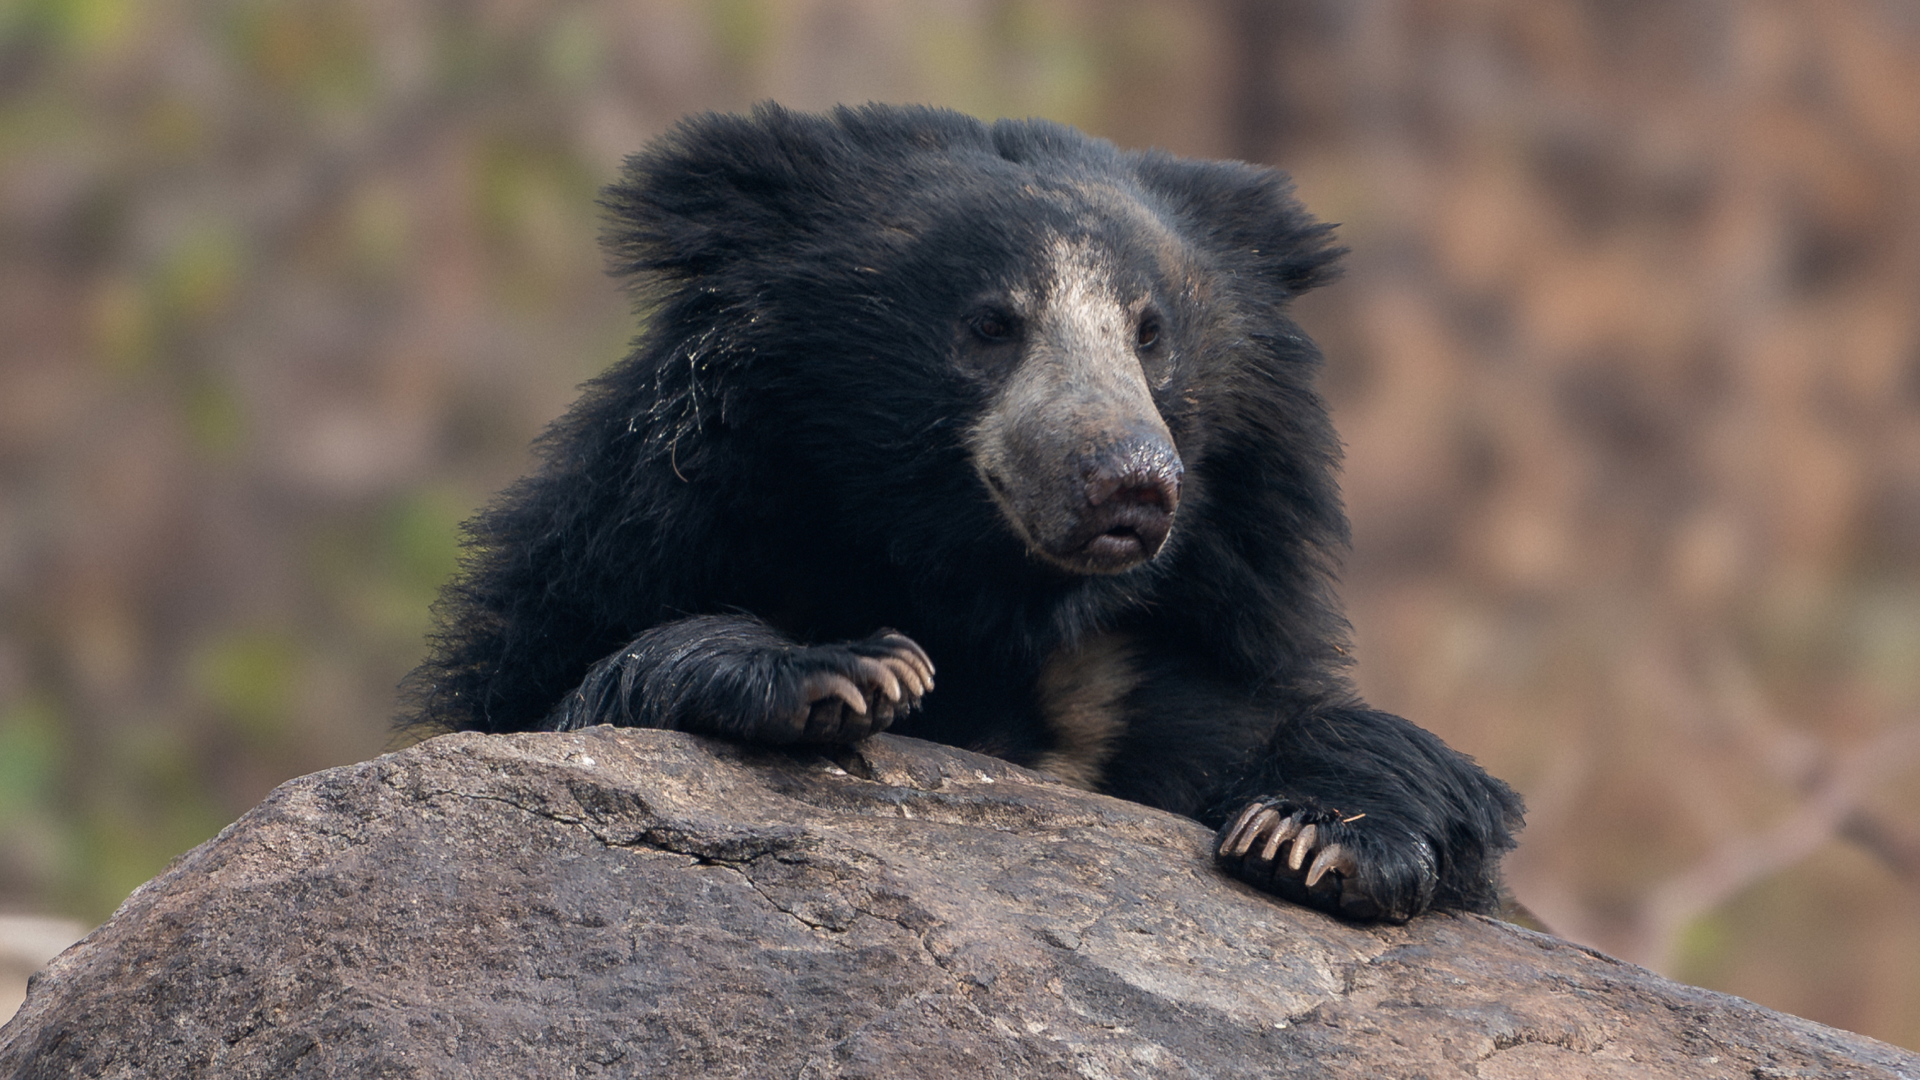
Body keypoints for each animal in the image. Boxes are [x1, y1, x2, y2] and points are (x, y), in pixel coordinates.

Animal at [403, 102, 1524, 923]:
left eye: (1151, 333)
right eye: (991, 326)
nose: (1129, 482)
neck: (994, 599)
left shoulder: (1149, 669)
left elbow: (1331, 742)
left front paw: (1314, 834)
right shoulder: (635, 546)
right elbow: (573, 696)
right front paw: (851, 672)